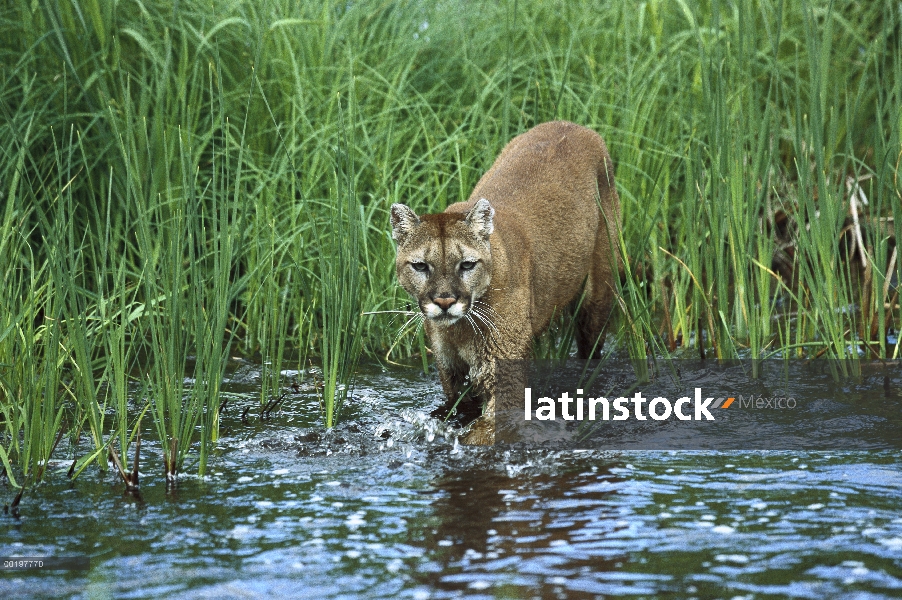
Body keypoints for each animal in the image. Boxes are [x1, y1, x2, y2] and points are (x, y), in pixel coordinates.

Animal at [392, 119, 624, 442]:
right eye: (421, 266)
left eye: (467, 264)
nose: (444, 301)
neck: (460, 330)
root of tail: (571, 125)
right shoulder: (451, 373)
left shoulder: (503, 376)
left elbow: (485, 432)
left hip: (598, 294)